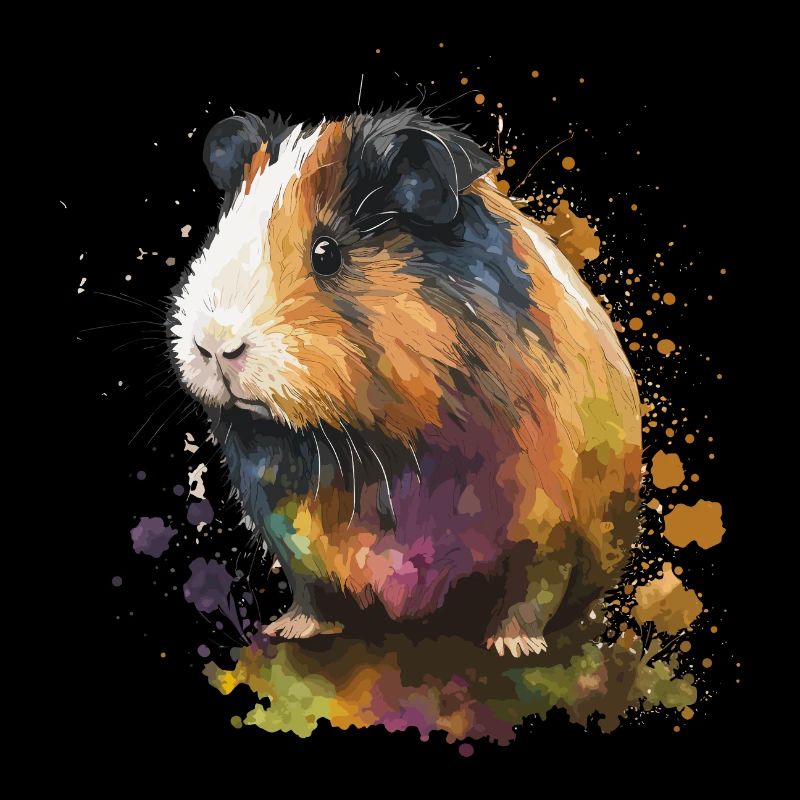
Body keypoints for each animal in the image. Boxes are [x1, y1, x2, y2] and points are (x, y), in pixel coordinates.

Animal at [168, 108, 642, 657]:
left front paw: (514, 646)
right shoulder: (289, 536)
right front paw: (291, 628)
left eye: (327, 253)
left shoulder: (551, 528)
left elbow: (531, 589)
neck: (365, 450)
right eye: (217, 236)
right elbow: (309, 590)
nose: (214, 345)